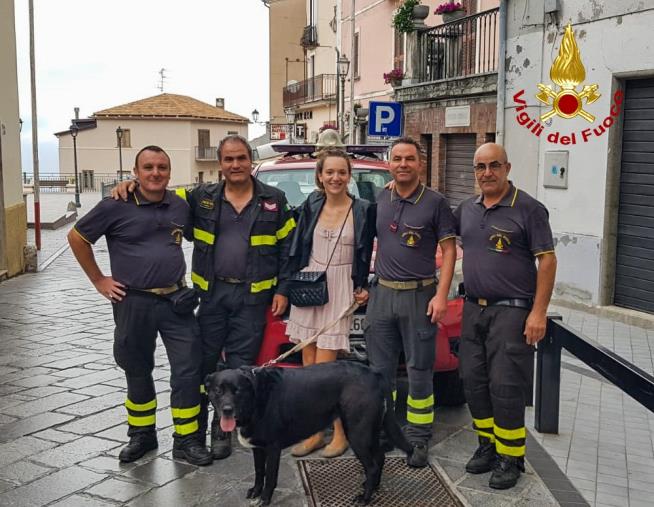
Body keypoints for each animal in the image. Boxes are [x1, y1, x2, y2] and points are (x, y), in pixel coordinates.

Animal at [205, 364, 412, 506]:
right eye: (218, 390)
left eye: (237, 391)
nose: (227, 410)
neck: (256, 399)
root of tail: (374, 374)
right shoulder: (258, 448)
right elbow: (258, 472)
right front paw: (255, 491)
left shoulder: (273, 448)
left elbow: (270, 477)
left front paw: (264, 499)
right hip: (370, 431)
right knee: (380, 457)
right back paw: (374, 486)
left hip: (357, 434)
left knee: (372, 466)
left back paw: (365, 498)